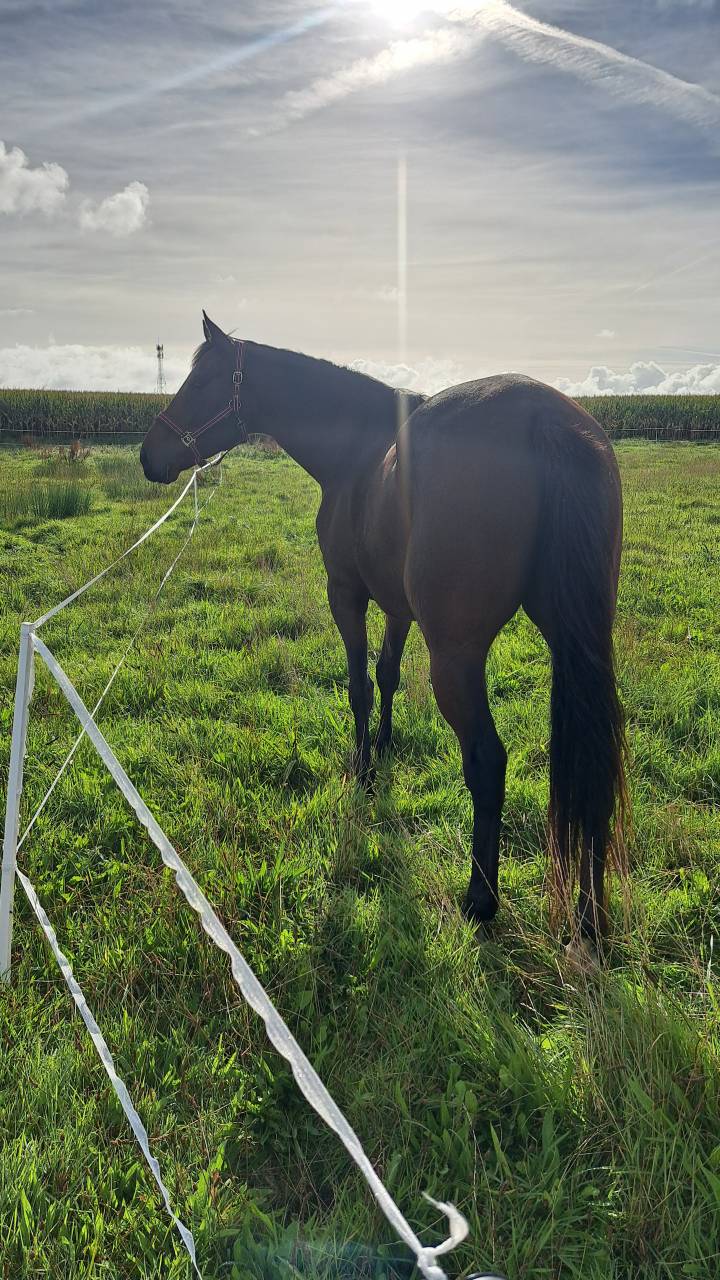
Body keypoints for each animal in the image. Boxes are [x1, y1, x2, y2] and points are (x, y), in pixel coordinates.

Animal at [140, 311, 627, 946]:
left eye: (201, 382)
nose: (149, 455)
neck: (358, 450)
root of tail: (543, 417)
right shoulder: (398, 608)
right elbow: (389, 673)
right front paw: (386, 746)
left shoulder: (346, 595)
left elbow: (359, 686)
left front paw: (364, 767)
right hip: (579, 642)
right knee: (593, 762)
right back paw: (590, 918)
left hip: (457, 656)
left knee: (487, 760)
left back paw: (481, 899)